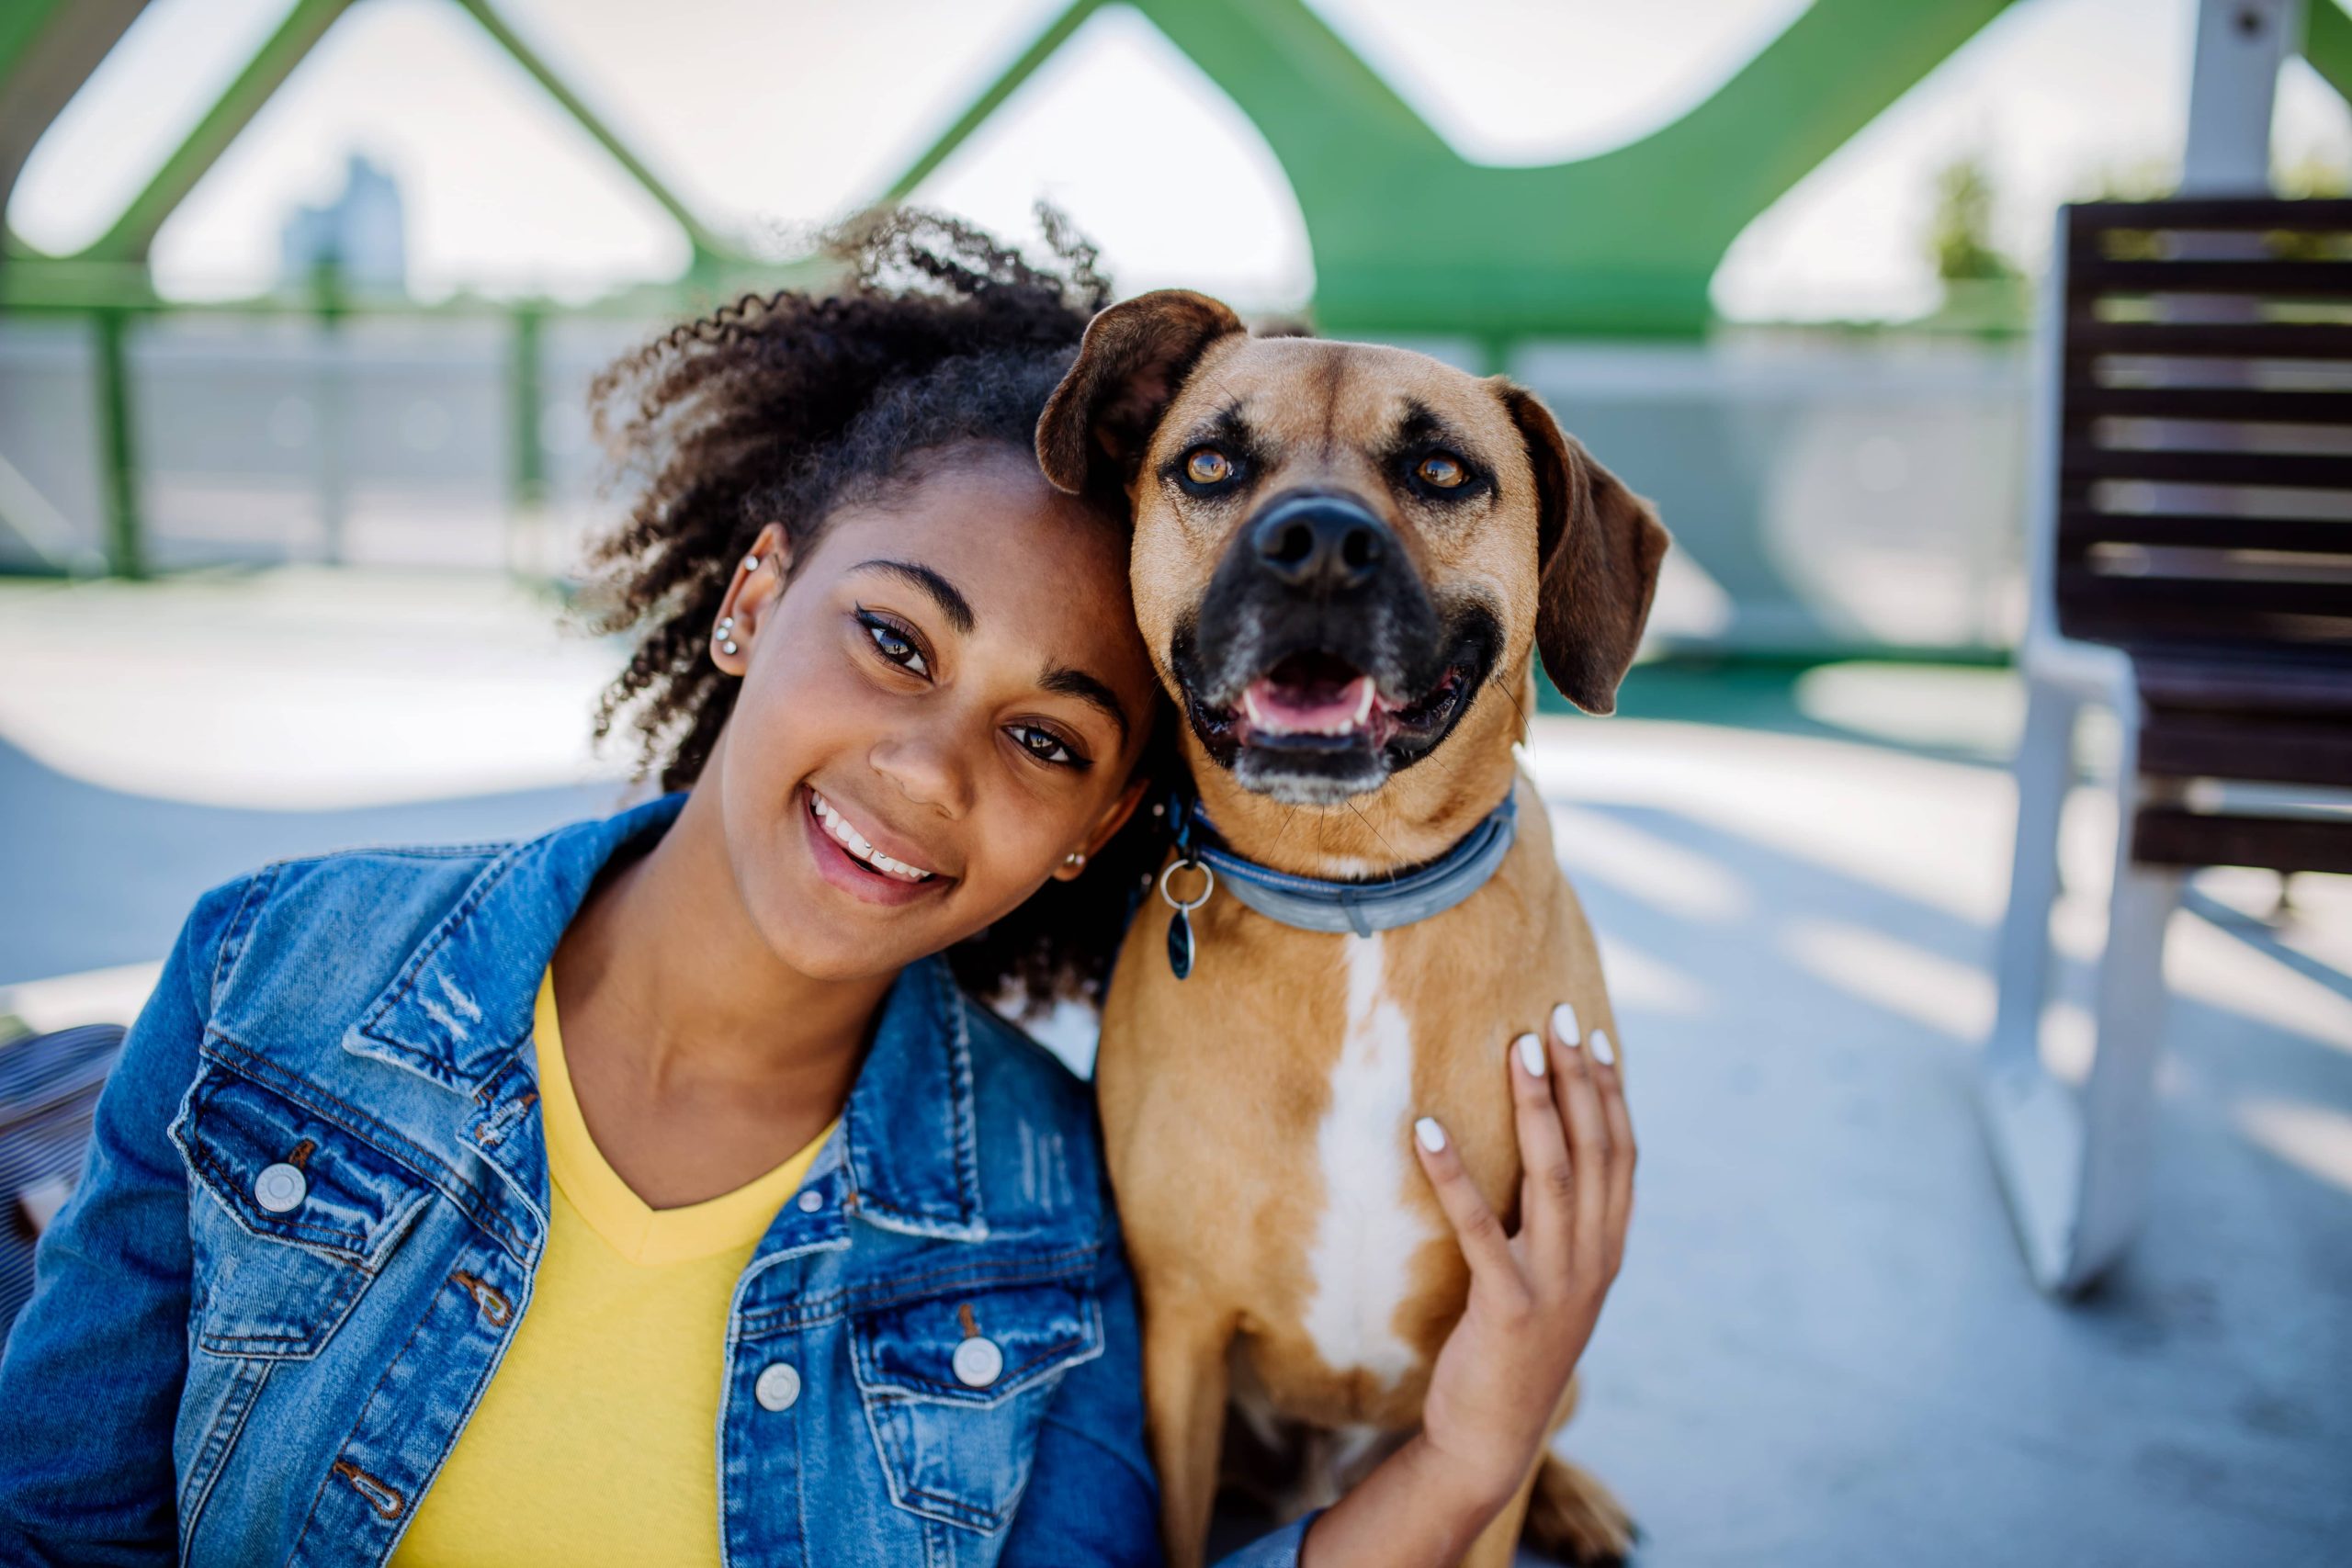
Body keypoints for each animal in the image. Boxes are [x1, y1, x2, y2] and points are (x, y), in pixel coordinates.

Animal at [1039, 293, 1665, 1568]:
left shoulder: (1506, 1369)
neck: (1355, 902)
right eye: (1210, 464)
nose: (1317, 544)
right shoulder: (1179, 1335)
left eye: (1440, 470)